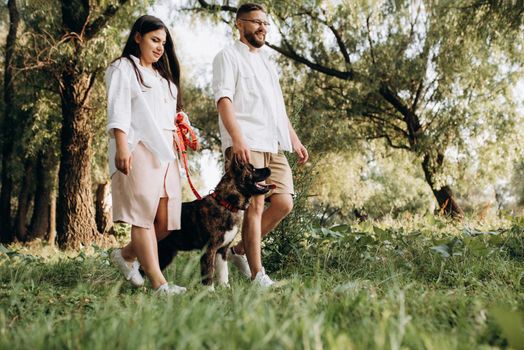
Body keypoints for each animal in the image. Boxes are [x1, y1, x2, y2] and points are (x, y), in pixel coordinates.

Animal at [156, 158, 274, 288]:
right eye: (252, 169)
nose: (269, 168)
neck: (226, 204)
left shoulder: (222, 250)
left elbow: (223, 272)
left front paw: (225, 288)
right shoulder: (209, 249)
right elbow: (209, 272)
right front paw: (209, 290)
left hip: (166, 254)